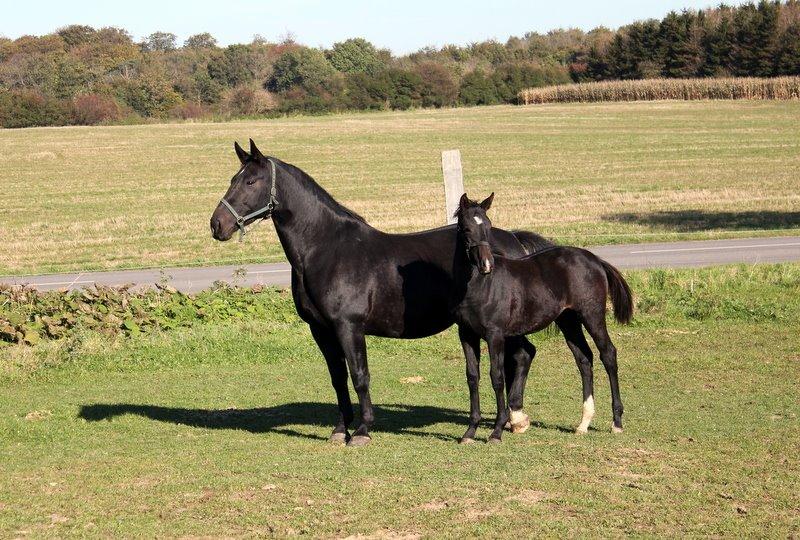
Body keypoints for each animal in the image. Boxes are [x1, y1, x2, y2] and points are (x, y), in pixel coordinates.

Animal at [209, 140, 552, 448]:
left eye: (251, 181)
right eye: (233, 179)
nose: (217, 225)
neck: (326, 249)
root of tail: (513, 240)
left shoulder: (349, 327)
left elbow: (359, 375)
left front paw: (362, 431)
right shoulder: (321, 329)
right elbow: (338, 378)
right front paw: (339, 431)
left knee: (522, 355)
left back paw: (515, 419)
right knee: (524, 355)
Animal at [450, 194, 632, 442]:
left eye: (488, 226)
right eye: (466, 228)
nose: (487, 265)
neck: (480, 286)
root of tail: (595, 259)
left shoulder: (495, 334)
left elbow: (496, 376)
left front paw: (497, 431)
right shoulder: (467, 334)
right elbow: (472, 376)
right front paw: (469, 432)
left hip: (591, 315)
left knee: (608, 354)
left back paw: (617, 422)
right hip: (568, 321)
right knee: (584, 359)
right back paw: (583, 423)